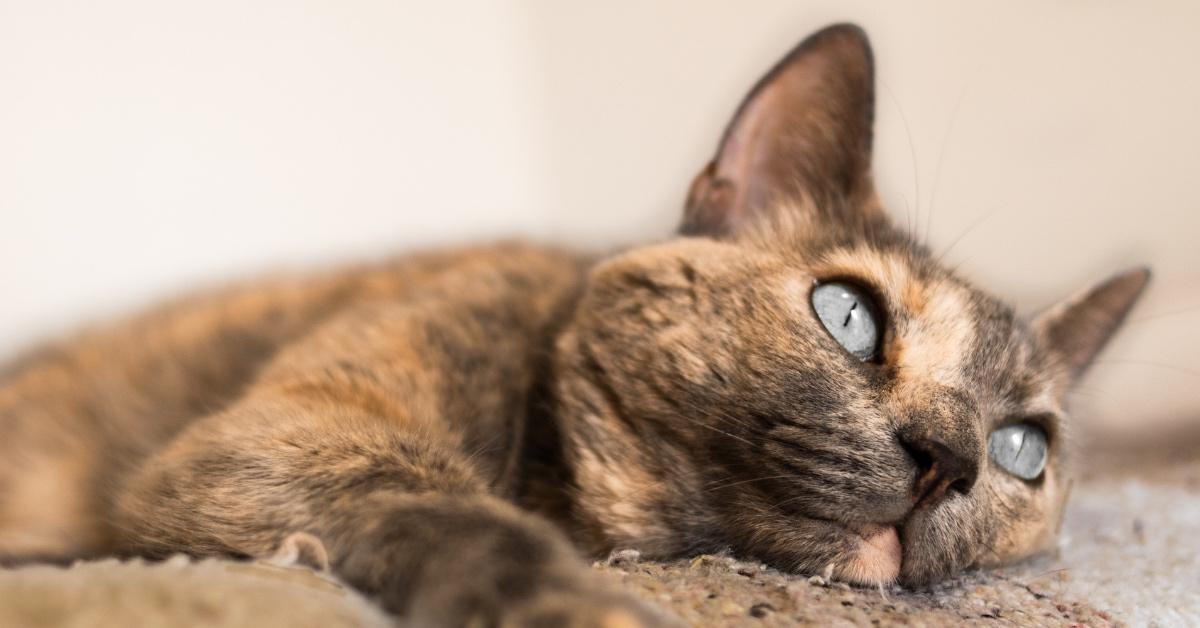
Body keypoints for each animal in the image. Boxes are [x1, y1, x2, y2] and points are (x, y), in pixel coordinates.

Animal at [0, 22, 1147, 624]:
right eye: (849, 316)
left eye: (1023, 447)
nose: (950, 458)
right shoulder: (286, 436)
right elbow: (453, 512)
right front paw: (582, 605)